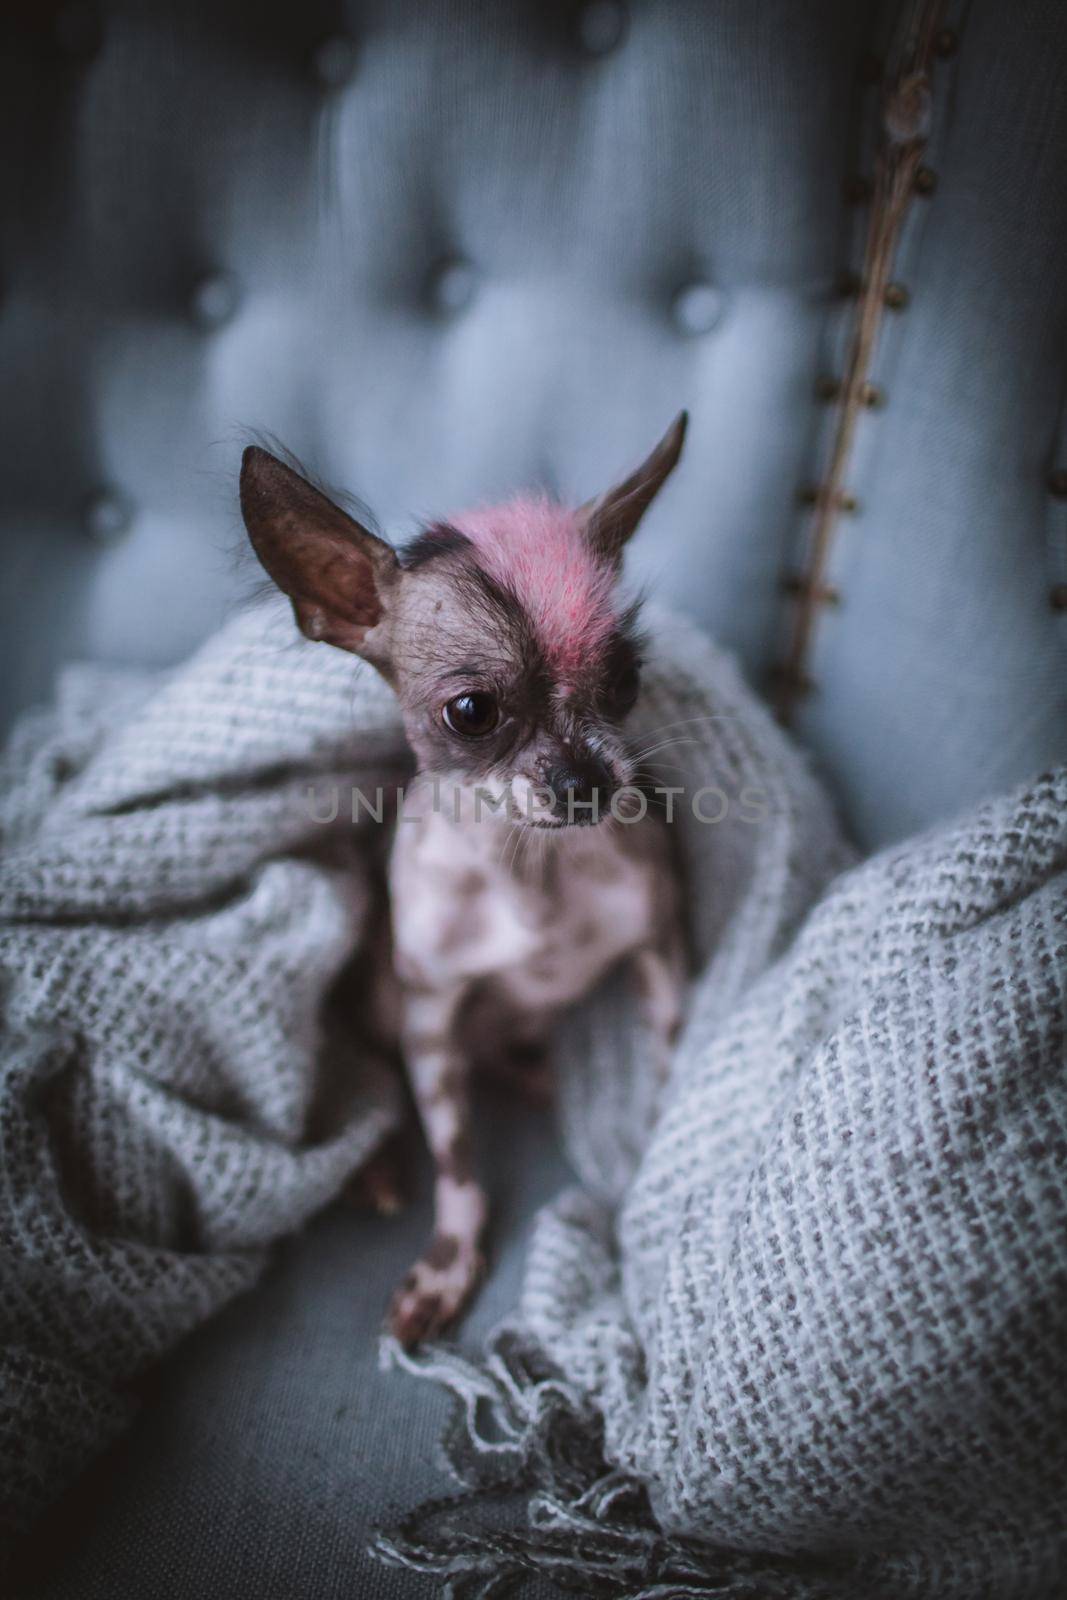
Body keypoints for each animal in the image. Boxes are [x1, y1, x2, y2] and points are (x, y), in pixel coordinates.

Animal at [239, 416, 694, 1350]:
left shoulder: (660, 960)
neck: (533, 872)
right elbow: (457, 1164)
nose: (586, 779)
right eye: (472, 713)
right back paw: (375, 1164)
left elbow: (660, 1093)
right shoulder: (430, 1023)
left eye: (624, 680)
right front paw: (448, 1269)